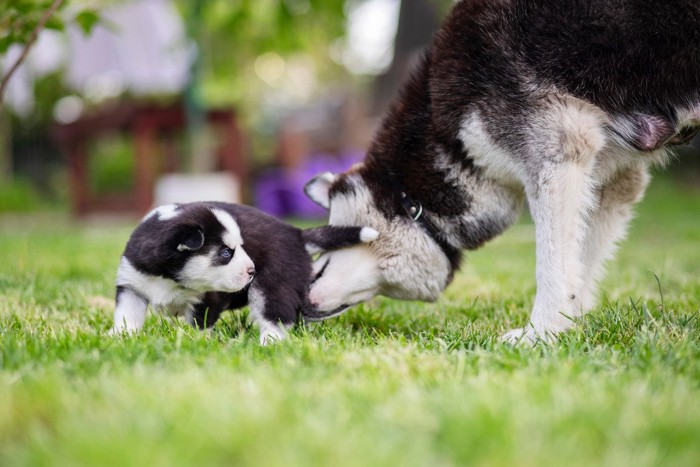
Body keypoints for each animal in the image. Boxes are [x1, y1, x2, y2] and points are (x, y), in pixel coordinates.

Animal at [110, 203, 378, 346]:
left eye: (241, 247)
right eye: (226, 252)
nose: (252, 270)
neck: (171, 279)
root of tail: (297, 234)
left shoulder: (209, 298)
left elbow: (200, 323)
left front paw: (197, 341)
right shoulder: (131, 285)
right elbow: (127, 316)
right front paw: (119, 336)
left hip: (270, 287)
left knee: (276, 317)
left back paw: (269, 341)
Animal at [302, 0, 700, 344]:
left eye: (326, 249)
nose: (298, 303)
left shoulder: (557, 150)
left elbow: (552, 268)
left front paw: (540, 334)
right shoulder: (614, 181)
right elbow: (579, 267)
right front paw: (568, 328)